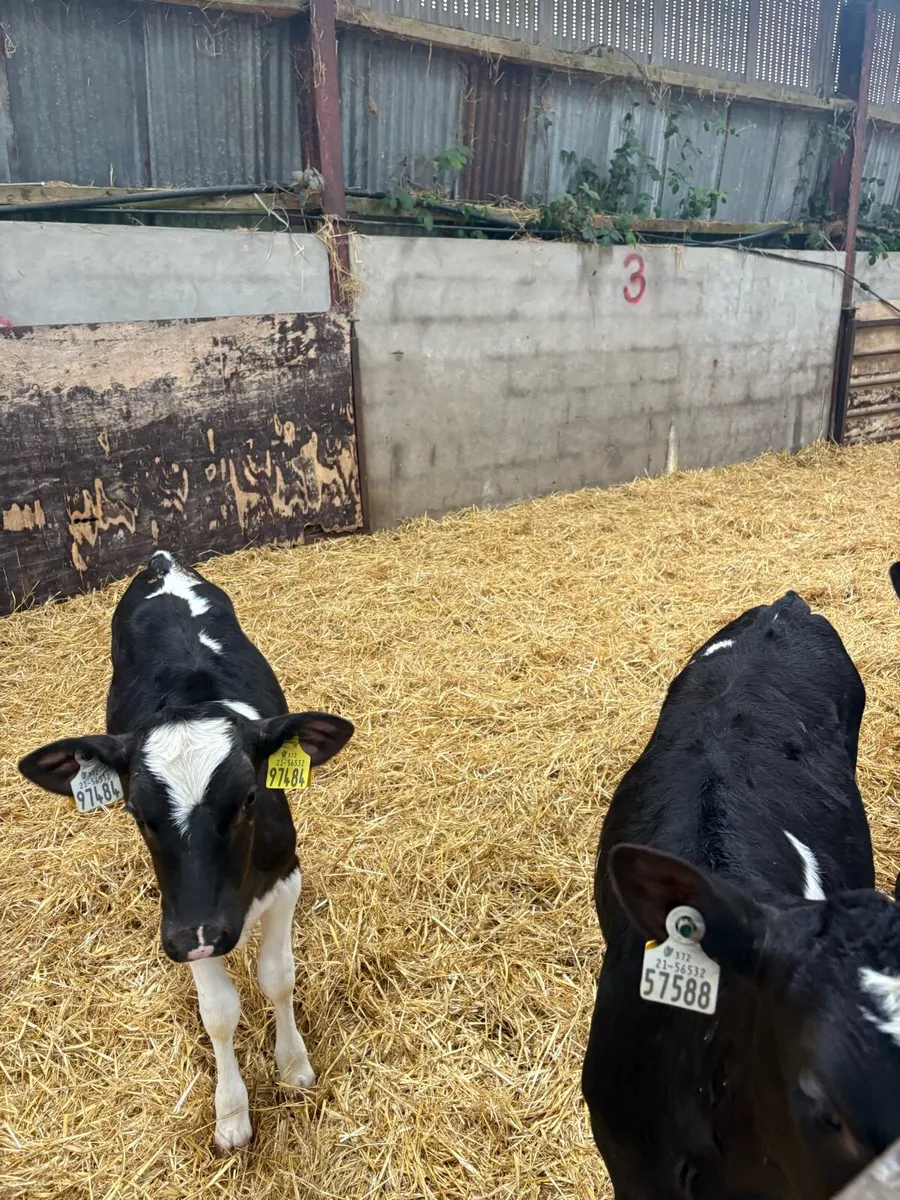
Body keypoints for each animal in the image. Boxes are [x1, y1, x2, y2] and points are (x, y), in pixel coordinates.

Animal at [18, 550, 354, 1154]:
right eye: (134, 810)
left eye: (250, 797)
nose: (201, 932)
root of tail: (162, 561)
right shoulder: (183, 918)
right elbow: (219, 1012)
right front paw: (231, 1113)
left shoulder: (284, 877)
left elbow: (278, 976)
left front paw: (293, 1066)